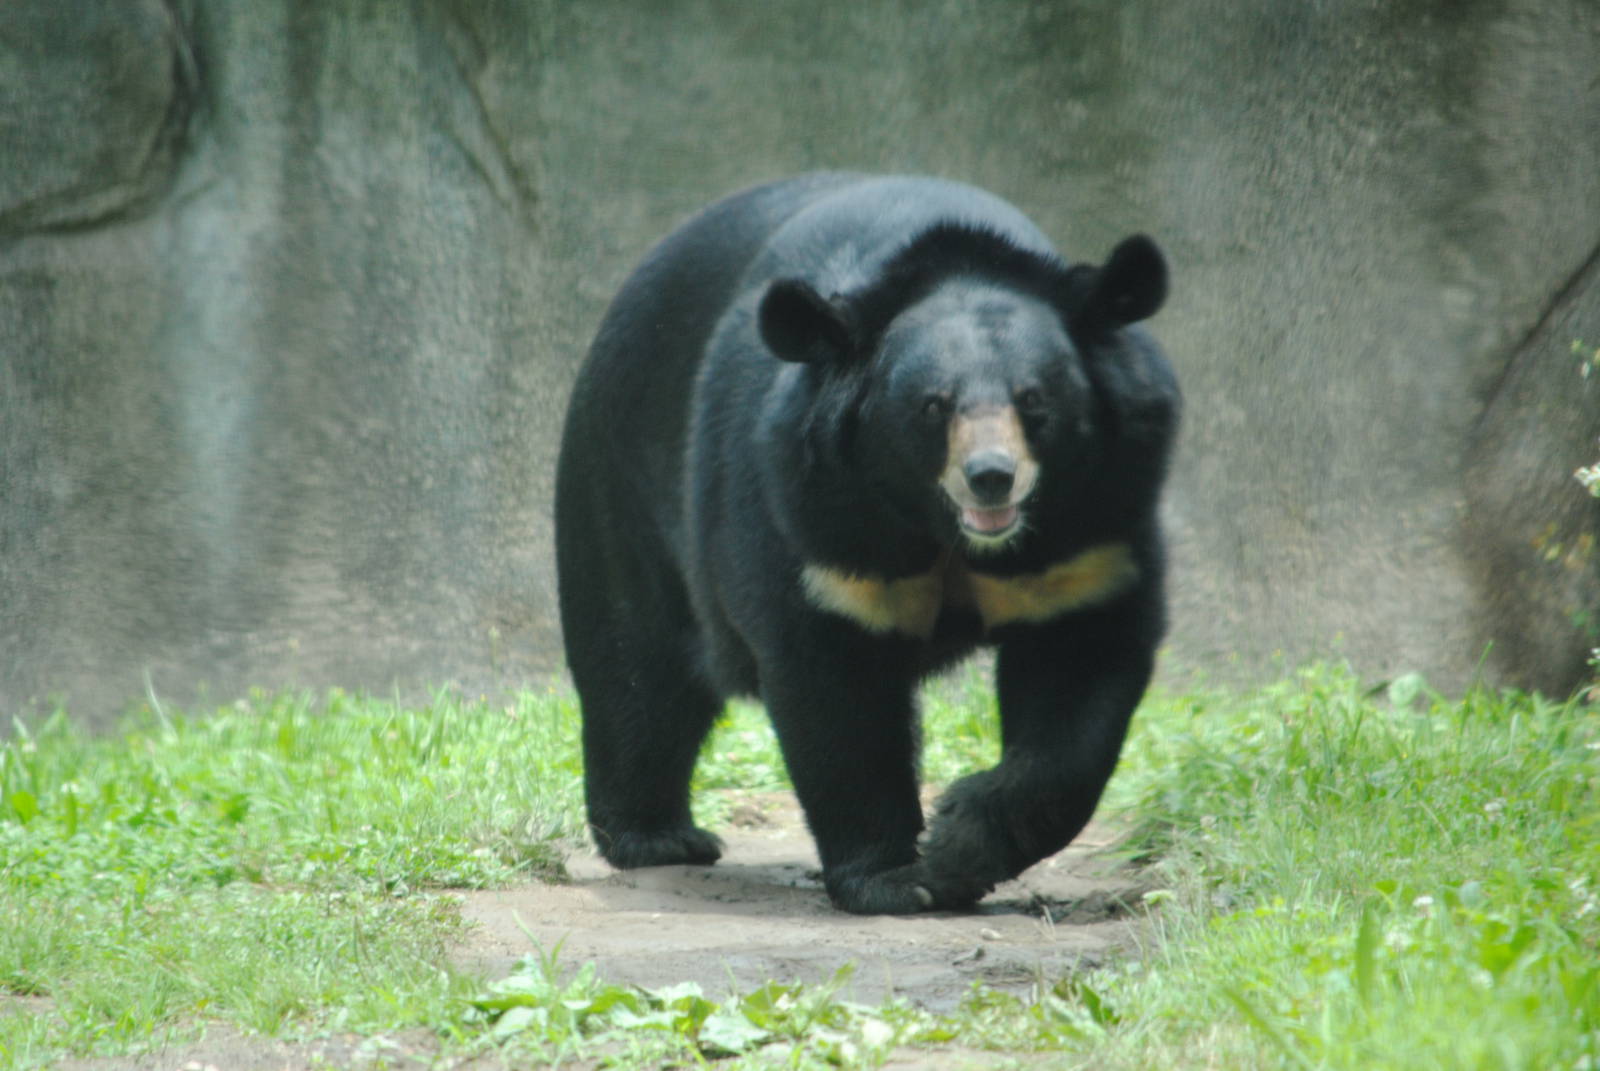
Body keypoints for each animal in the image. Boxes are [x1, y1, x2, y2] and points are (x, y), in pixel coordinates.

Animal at [555, 172, 1179, 915]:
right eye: (934, 406)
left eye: (1033, 399)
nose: (991, 478)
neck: (942, 527)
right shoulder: (815, 516)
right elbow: (835, 687)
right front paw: (899, 877)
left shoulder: (1092, 532)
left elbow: (1079, 677)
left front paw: (961, 838)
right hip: (623, 469)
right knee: (635, 663)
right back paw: (657, 838)